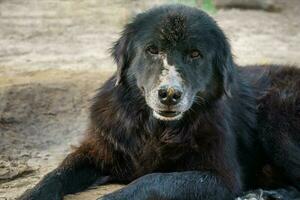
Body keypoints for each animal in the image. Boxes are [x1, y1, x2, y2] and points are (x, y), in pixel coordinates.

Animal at [19, 4, 300, 200]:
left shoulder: (221, 179)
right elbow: (56, 174)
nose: (169, 94)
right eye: (152, 50)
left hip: (275, 117)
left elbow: (153, 180)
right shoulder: (100, 151)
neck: (155, 130)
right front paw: (31, 194)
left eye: (195, 54)